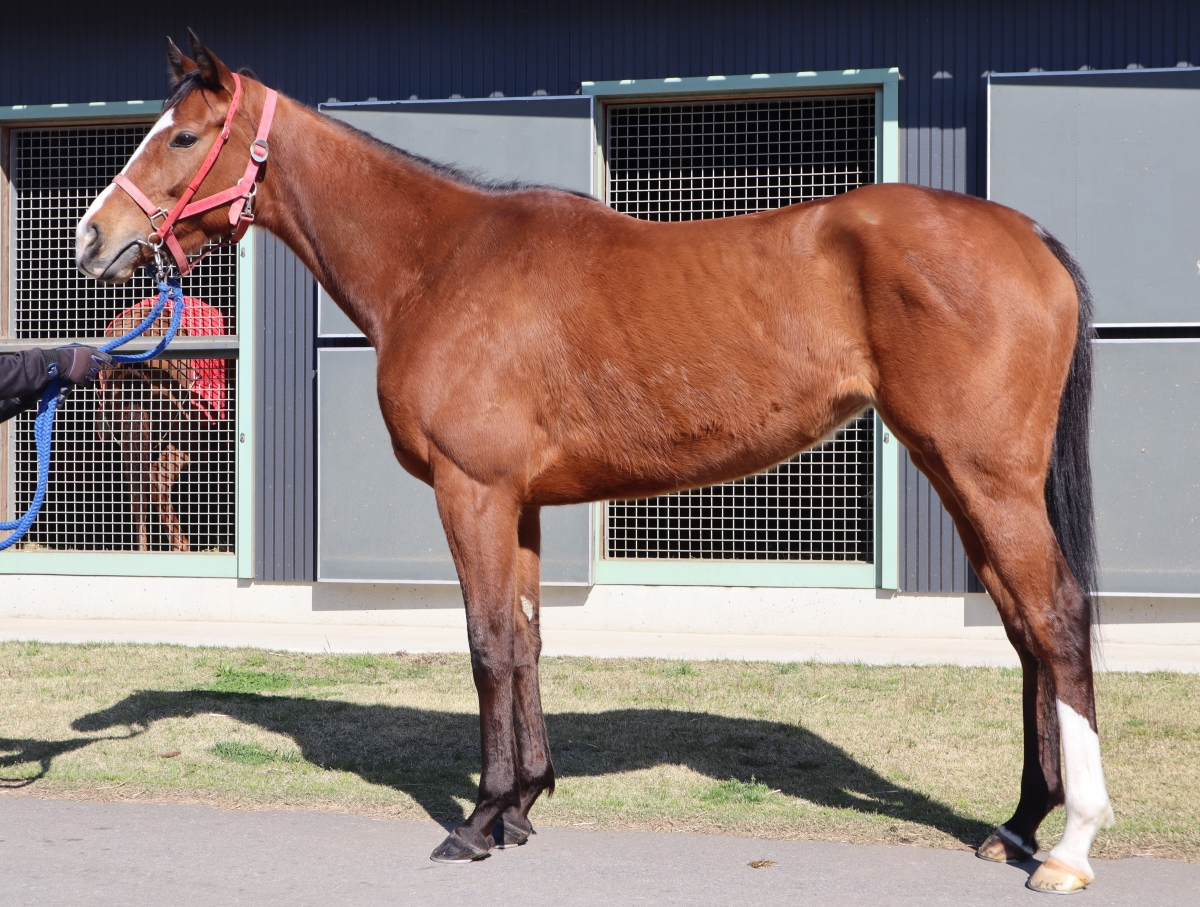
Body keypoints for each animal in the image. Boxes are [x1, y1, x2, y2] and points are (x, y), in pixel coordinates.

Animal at [72, 33, 1104, 892]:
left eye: (184, 135)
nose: (92, 237)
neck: (439, 262)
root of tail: (1026, 236)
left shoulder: (473, 492)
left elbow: (488, 643)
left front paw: (478, 821)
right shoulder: (519, 503)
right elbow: (527, 640)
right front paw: (524, 802)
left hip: (985, 474)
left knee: (1055, 616)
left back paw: (1069, 846)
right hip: (960, 475)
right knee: (1022, 626)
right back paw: (1018, 821)